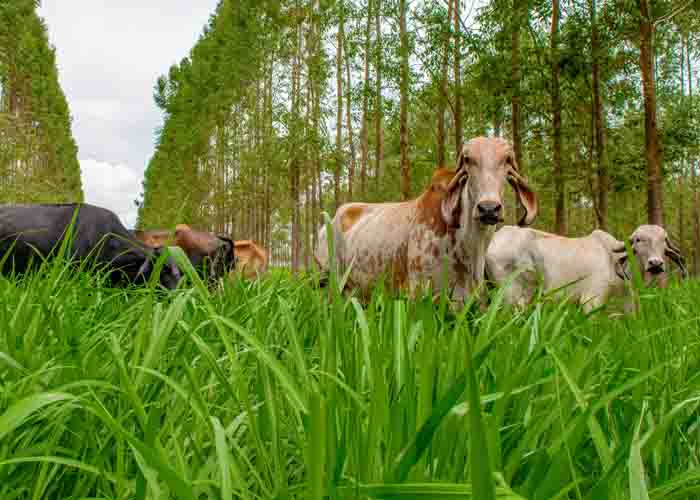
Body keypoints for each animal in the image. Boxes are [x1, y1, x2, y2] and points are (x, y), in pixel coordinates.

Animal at [314, 137, 540, 300]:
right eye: (468, 159)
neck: (467, 247)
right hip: (328, 281)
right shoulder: (417, 292)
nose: (488, 209)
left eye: (507, 160)